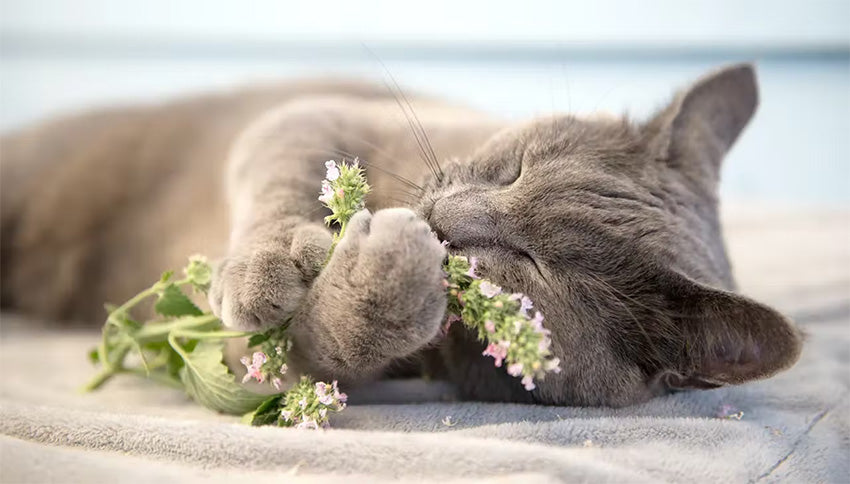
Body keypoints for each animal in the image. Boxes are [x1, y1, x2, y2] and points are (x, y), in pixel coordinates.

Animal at [0, 62, 800, 406]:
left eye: (531, 265)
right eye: (515, 167)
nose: (445, 224)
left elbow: (302, 354)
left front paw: (381, 283)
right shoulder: (314, 115)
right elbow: (281, 169)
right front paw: (270, 264)